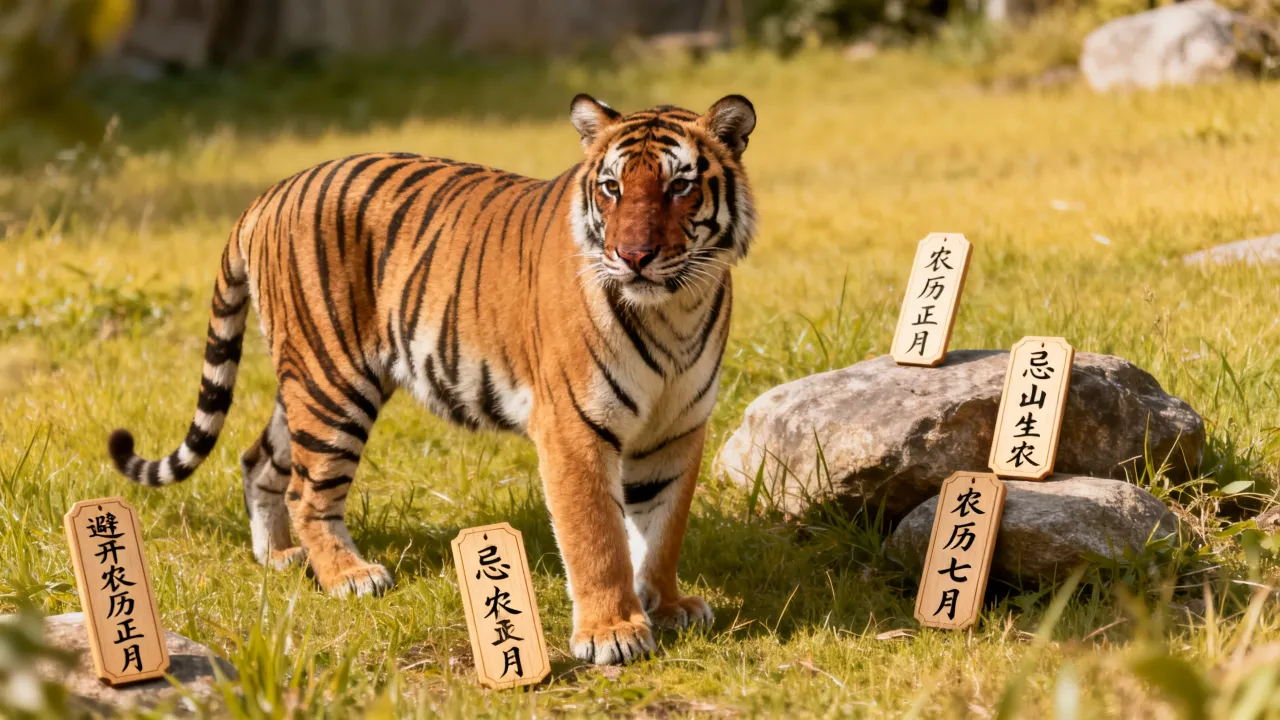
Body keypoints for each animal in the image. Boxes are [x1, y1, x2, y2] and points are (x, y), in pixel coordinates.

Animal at [106, 94, 757, 666]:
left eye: (679, 186)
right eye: (612, 188)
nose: (633, 256)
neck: (675, 310)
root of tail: (270, 193)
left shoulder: (676, 429)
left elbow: (662, 528)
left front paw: (667, 606)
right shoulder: (574, 428)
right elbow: (597, 538)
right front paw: (612, 633)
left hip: (306, 382)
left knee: (259, 460)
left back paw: (280, 557)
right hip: (332, 382)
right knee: (306, 490)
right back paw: (348, 576)